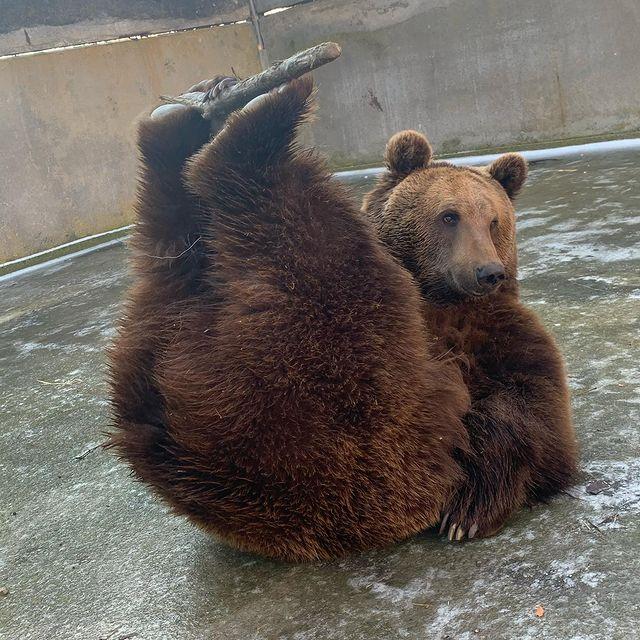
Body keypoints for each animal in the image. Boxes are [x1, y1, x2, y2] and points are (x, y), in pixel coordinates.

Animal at [362, 130, 576, 540]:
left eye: (493, 220)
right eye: (449, 215)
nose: (488, 272)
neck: (446, 302)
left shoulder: (499, 332)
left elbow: (533, 406)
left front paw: (468, 512)